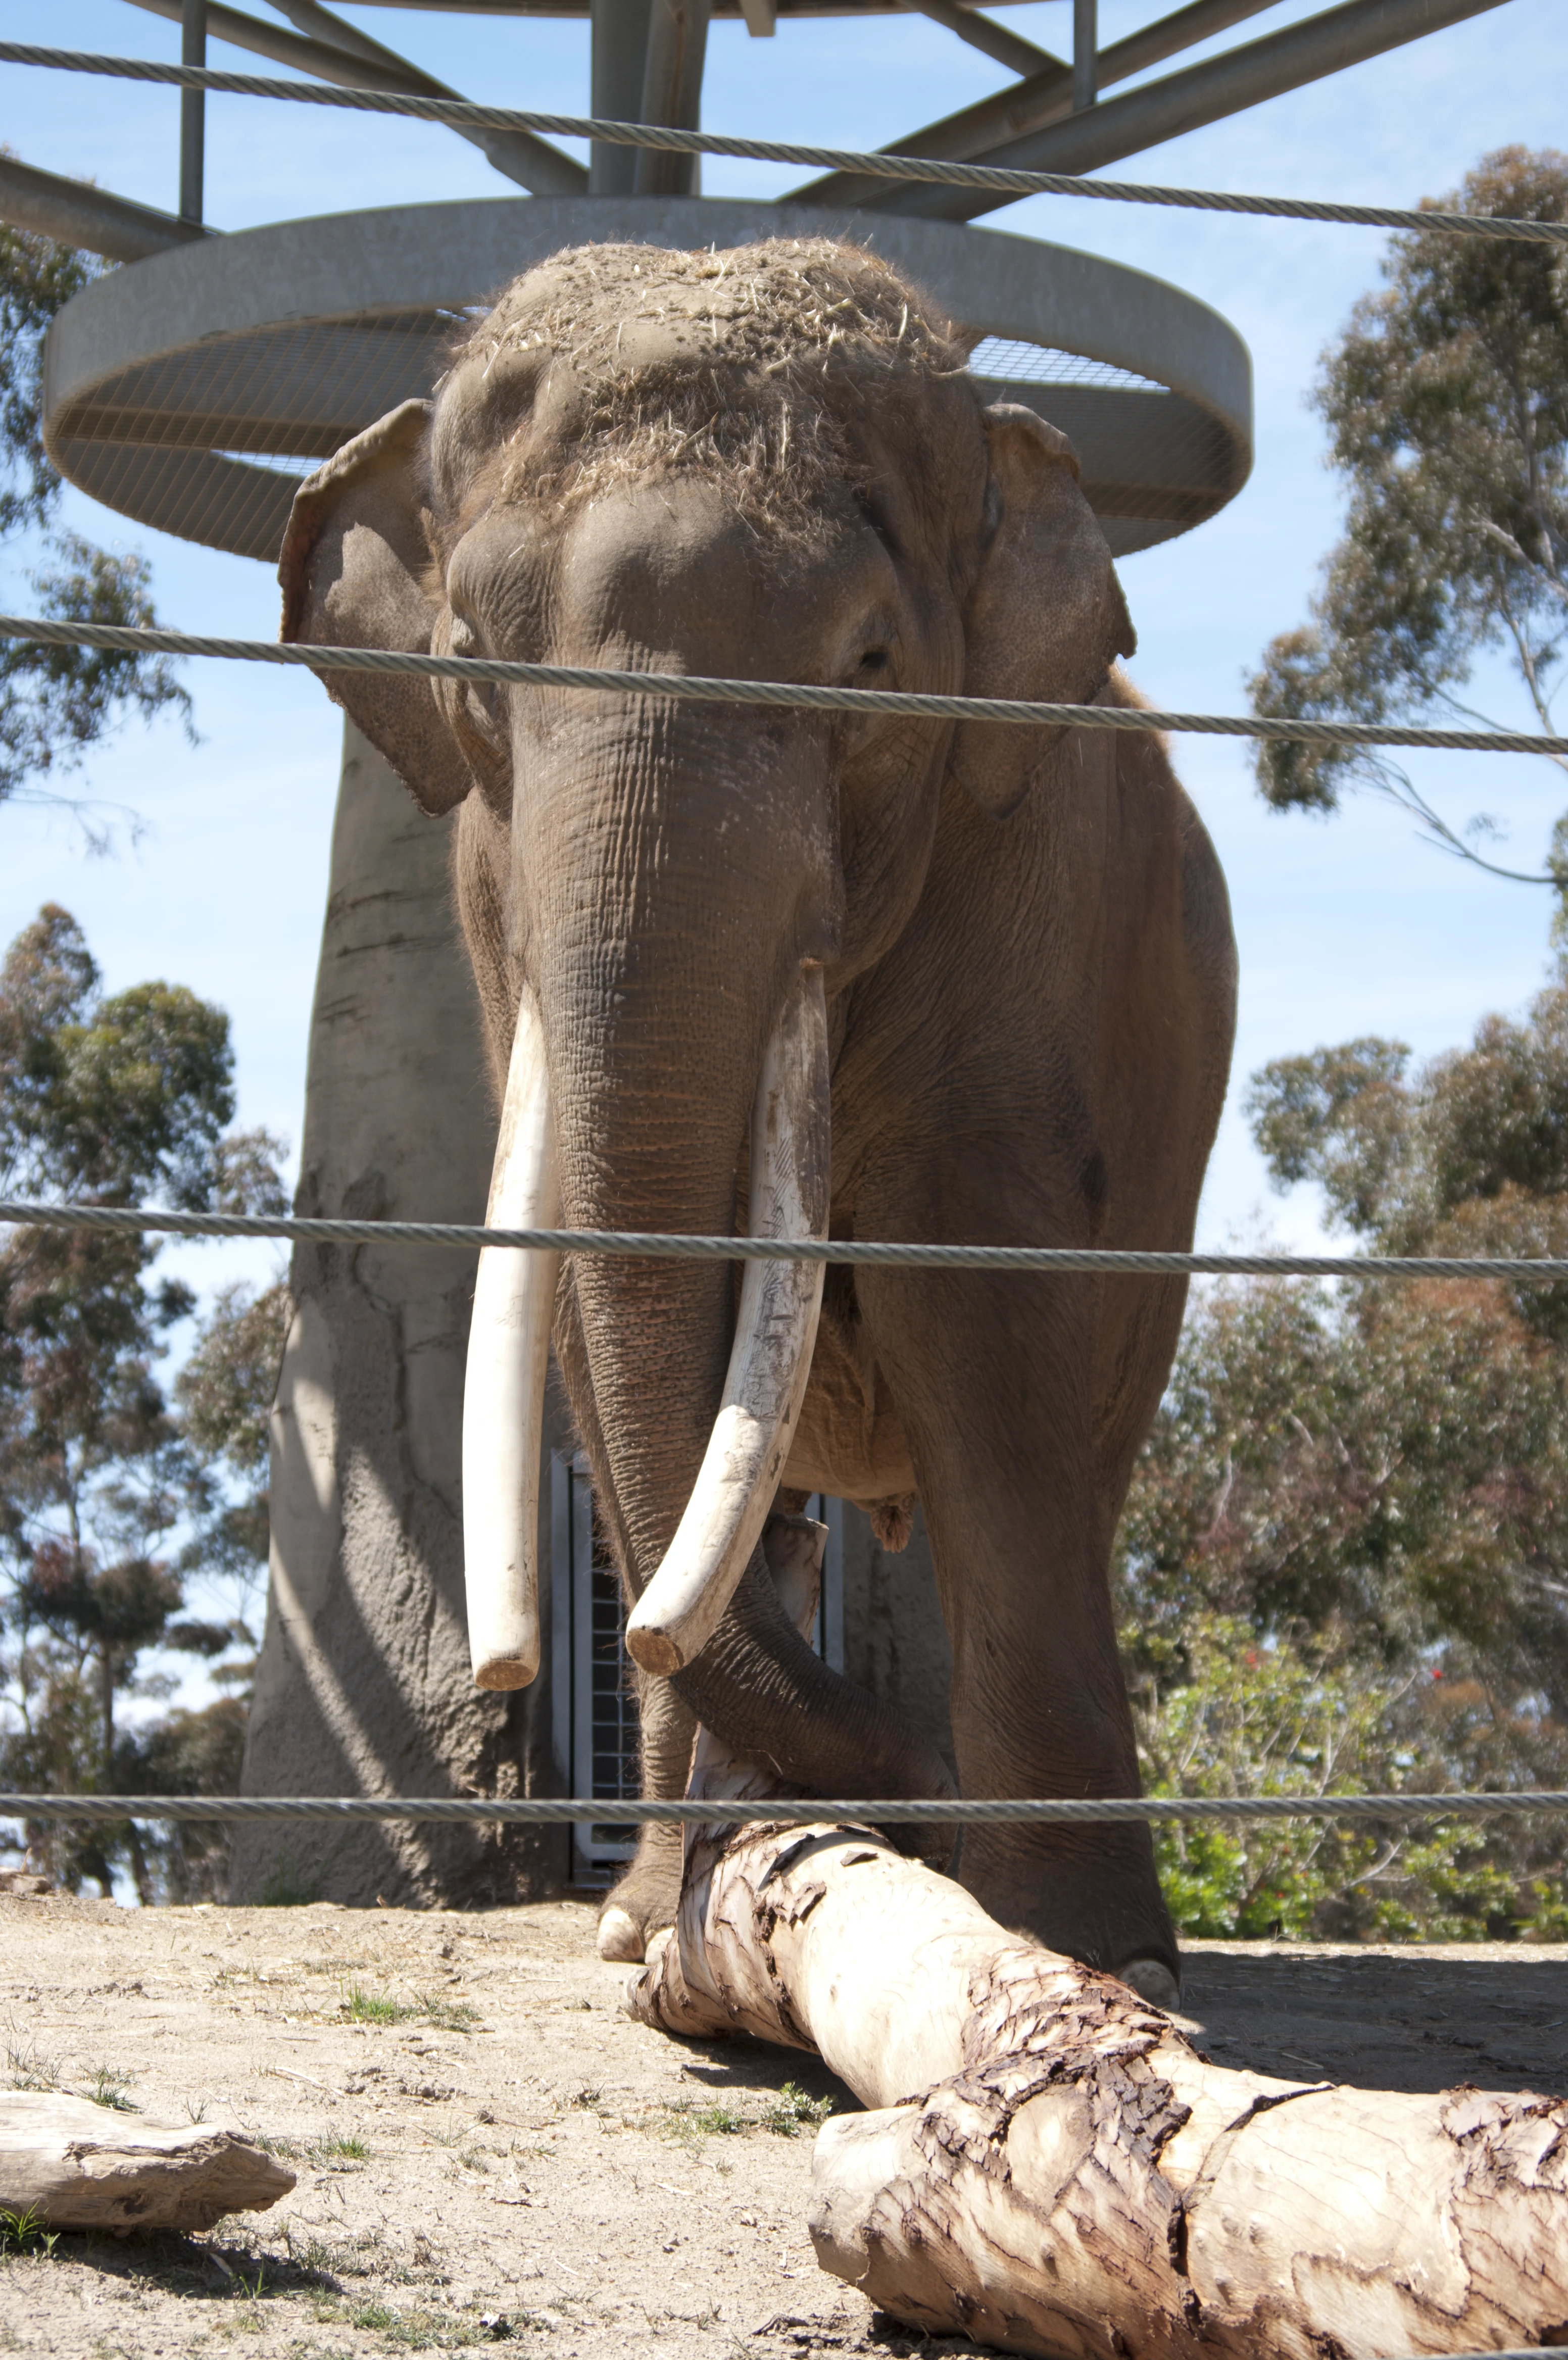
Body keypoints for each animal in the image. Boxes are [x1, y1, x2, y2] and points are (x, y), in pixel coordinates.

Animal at [279, 234, 1236, 2006]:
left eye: (870, 665)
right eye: (467, 662)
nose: (916, 1797)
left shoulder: (1030, 906)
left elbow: (981, 1323)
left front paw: (1098, 1962)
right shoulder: (482, 903)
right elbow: (585, 1323)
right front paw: (647, 1931)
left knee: (1071, 1457)